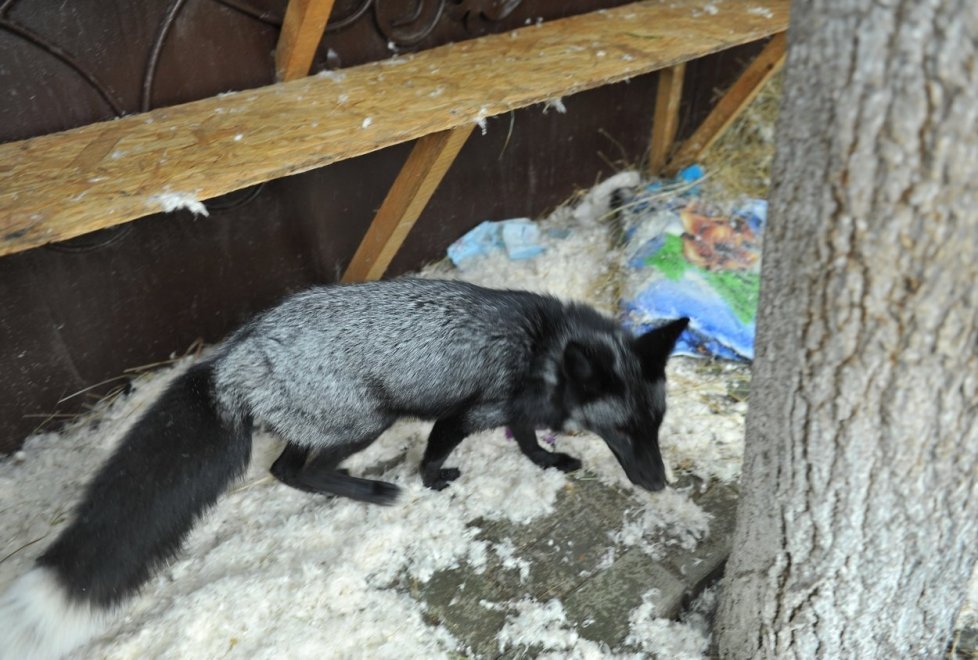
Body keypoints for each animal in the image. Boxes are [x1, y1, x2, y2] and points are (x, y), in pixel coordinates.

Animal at [0, 276, 688, 656]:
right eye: (624, 431)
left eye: (655, 423)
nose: (659, 484)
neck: (544, 348)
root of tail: (232, 358)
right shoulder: (463, 414)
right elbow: (438, 450)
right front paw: (432, 482)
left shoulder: (512, 412)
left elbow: (526, 440)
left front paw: (549, 459)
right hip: (366, 423)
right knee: (290, 472)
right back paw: (374, 490)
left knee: (287, 469)